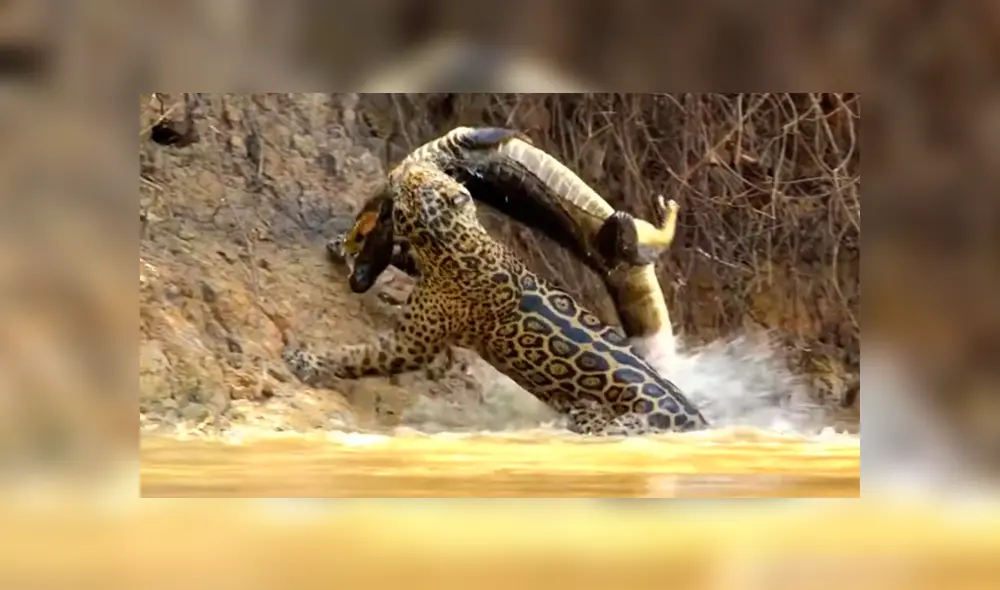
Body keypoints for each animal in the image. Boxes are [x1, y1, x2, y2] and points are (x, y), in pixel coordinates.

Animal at [283, 161, 708, 435]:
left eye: (419, 179)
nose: (402, 169)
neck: (453, 242)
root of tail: (697, 421)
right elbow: (404, 258)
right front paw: (341, 245)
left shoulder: (412, 344)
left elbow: (360, 355)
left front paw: (307, 360)